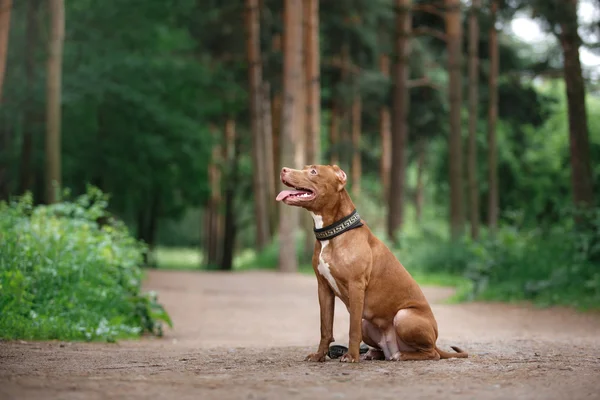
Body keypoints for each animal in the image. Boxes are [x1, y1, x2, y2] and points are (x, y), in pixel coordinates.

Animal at [276, 164, 468, 364]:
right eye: (305, 167)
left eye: (313, 171)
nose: (283, 169)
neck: (333, 233)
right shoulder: (324, 288)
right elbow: (325, 328)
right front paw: (320, 355)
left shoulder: (356, 286)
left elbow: (352, 329)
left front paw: (351, 356)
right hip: (367, 322)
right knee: (384, 348)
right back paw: (373, 353)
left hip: (404, 316)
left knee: (431, 353)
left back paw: (401, 355)